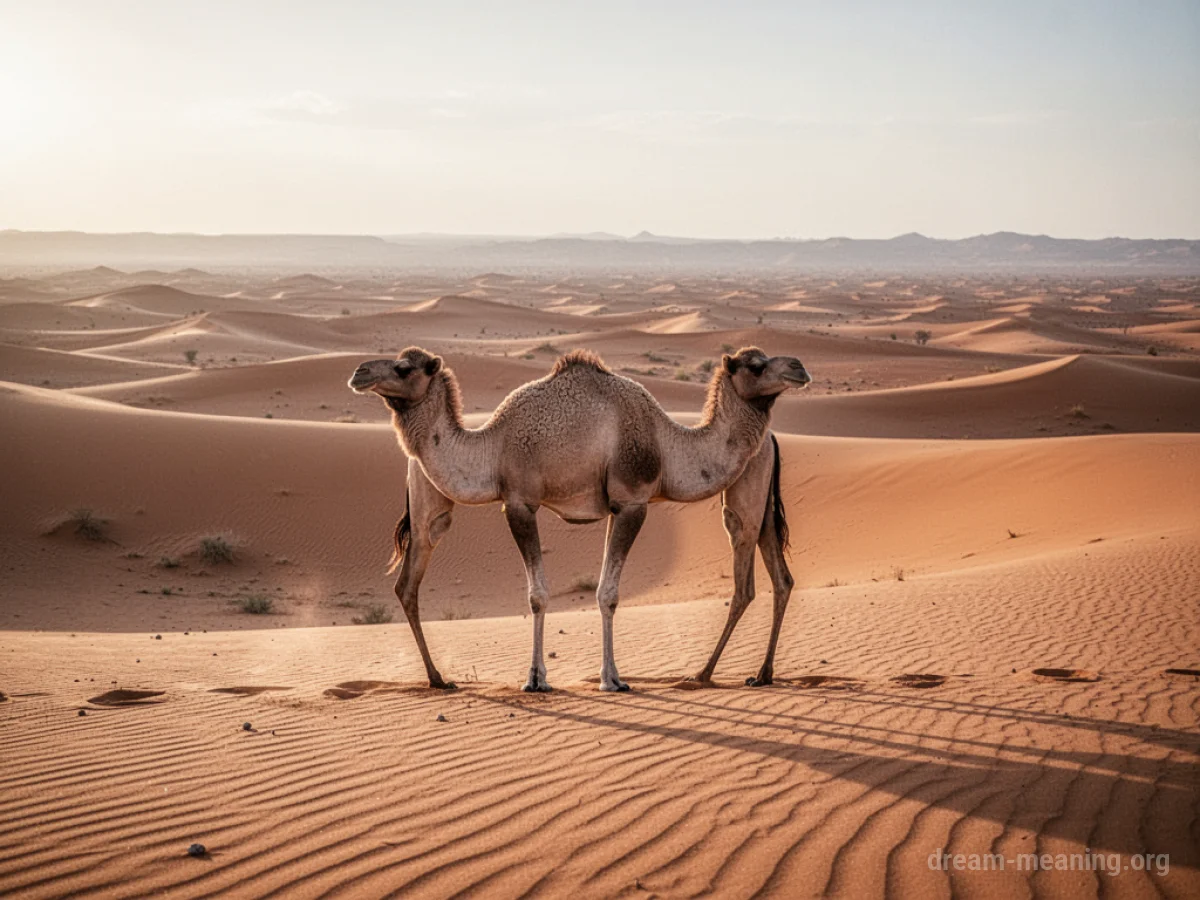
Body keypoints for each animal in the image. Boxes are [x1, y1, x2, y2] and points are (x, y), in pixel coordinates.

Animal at [349, 345, 809, 692]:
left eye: (403, 367)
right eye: (756, 364)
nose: (358, 371)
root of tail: (771, 440)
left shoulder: (627, 502)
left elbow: (602, 593)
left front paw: (605, 679)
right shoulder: (525, 503)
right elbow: (544, 594)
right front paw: (542, 679)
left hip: (751, 499)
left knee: (754, 579)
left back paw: (721, 674)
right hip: (428, 509)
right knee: (408, 582)